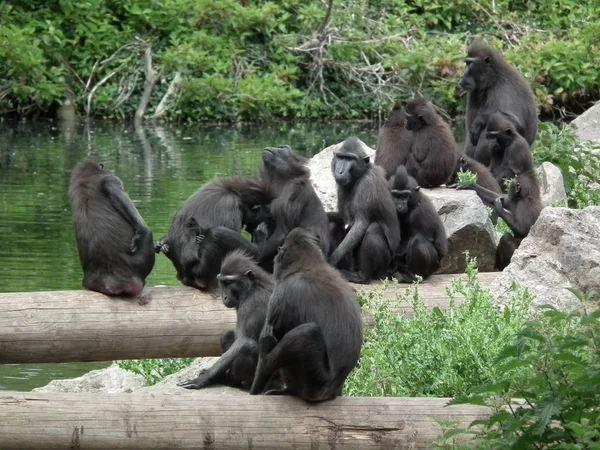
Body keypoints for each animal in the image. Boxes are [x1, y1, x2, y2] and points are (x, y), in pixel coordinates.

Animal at [69, 160, 156, 298]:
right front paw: (141, 230)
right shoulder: (112, 179)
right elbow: (111, 188)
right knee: (148, 236)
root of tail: (110, 283)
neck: (86, 177)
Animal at [328, 138, 398, 284]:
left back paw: (362, 277)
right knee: (334, 226)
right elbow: (342, 219)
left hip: (385, 267)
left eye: (350, 159)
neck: (359, 176)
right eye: (341, 157)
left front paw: (331, 260)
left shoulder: (367, 184)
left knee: (374, 229)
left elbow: (360, 225)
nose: (340, 171)